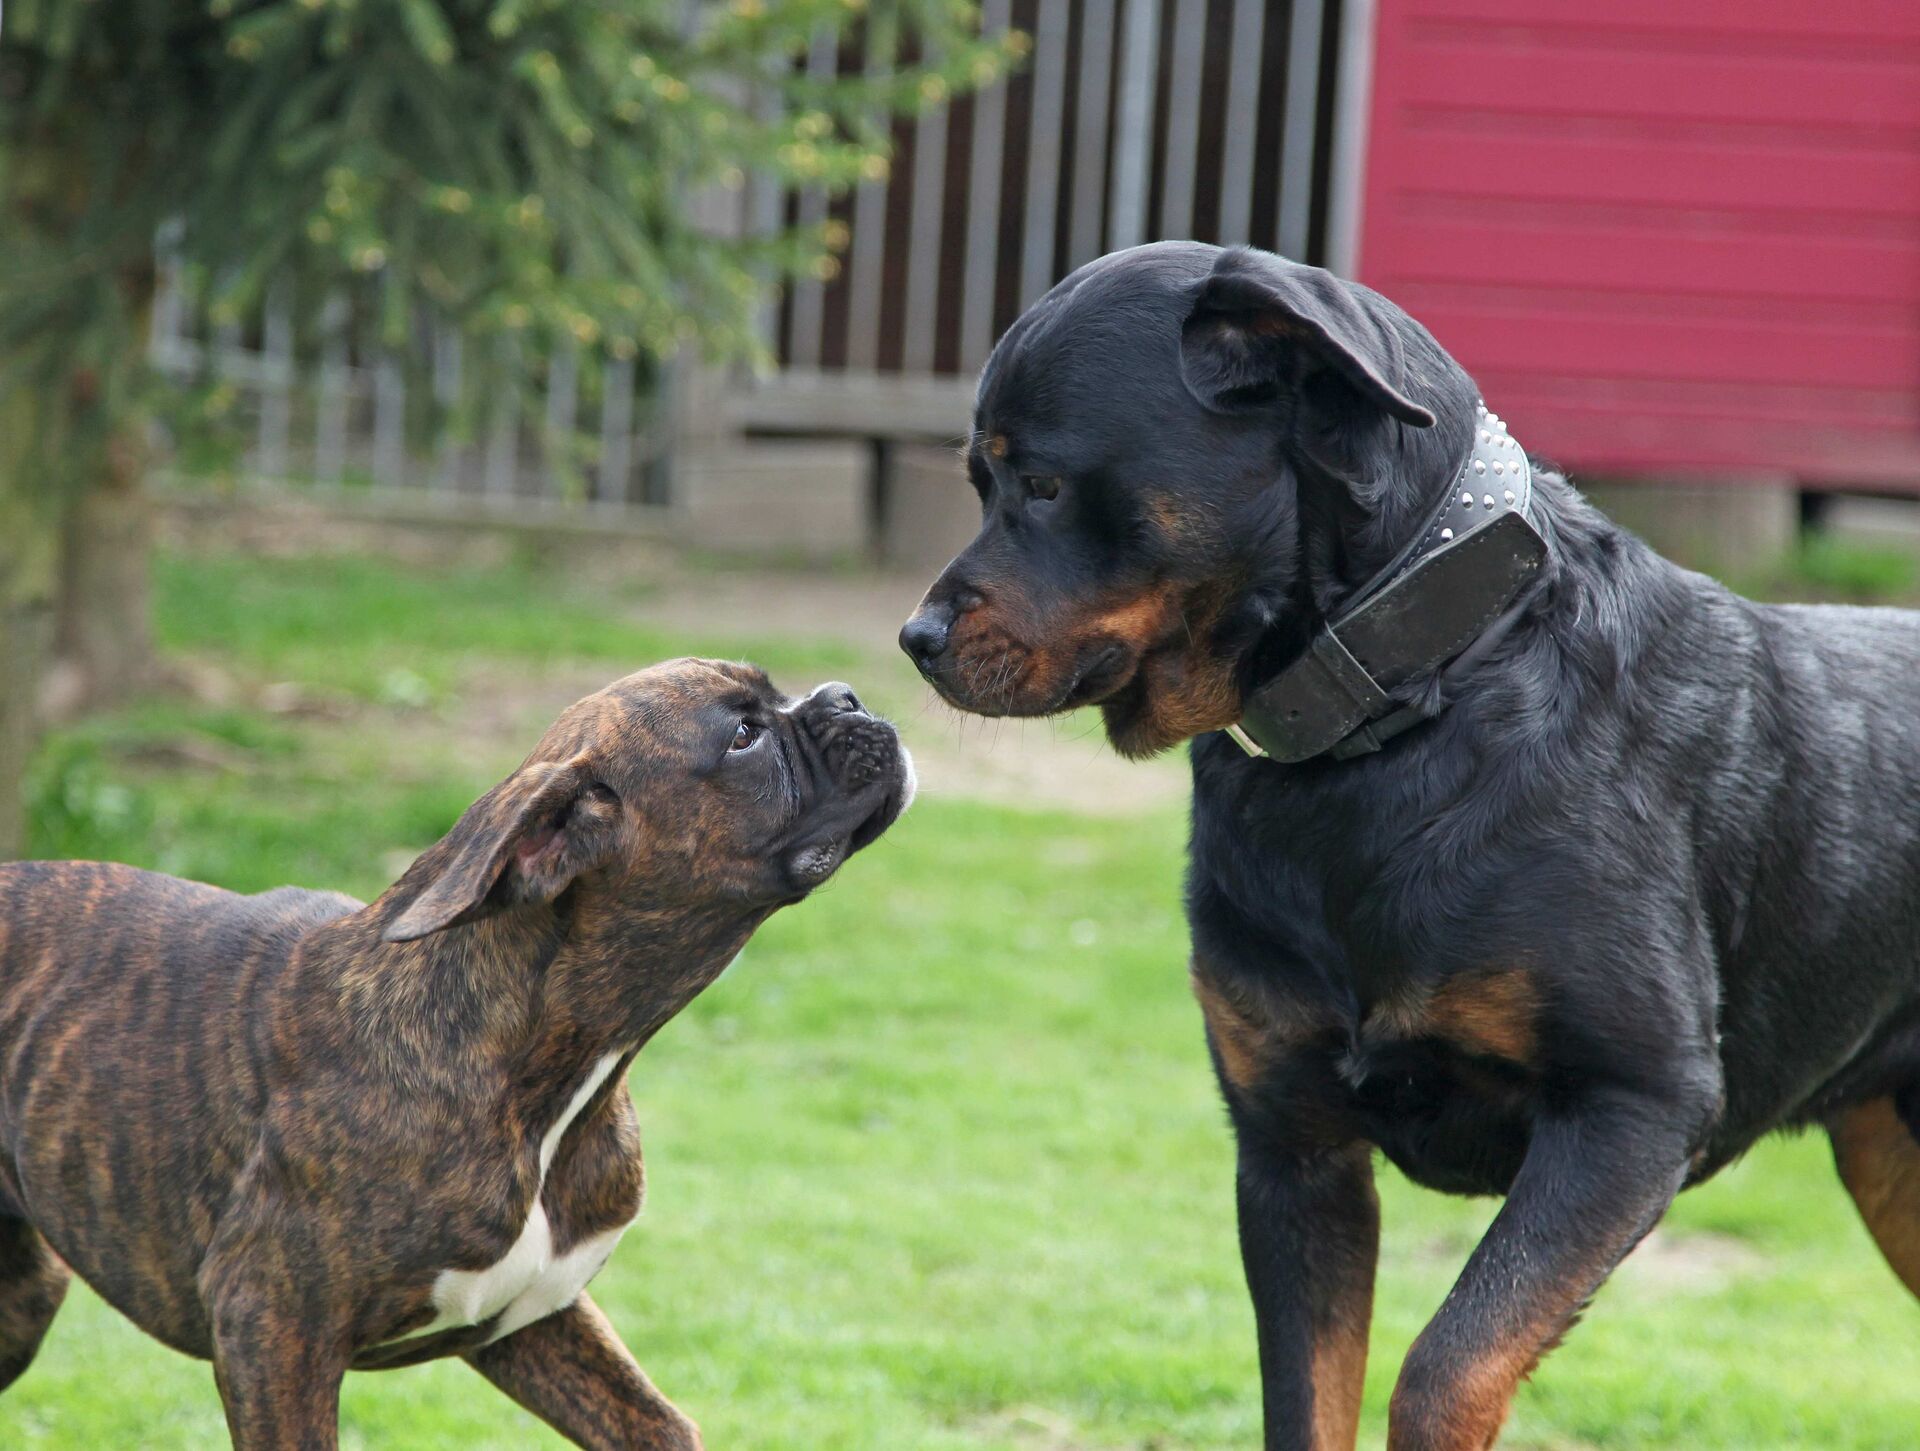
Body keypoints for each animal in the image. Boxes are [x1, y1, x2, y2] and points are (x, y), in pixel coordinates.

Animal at [0, 660, 910, 1451]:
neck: (543, 1067)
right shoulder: (270, 1327)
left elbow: (661, 1424)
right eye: (745, 734)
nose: (847, 694)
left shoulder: (533, 1318)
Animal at [898, 243, 1920, 1443]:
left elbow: (1447, 1362)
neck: (1408, 709)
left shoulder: (1629, 1108)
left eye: (1046, 486)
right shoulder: (1293, 1151)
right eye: (982, 484)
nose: (914, 637)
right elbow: (1304, 1396)